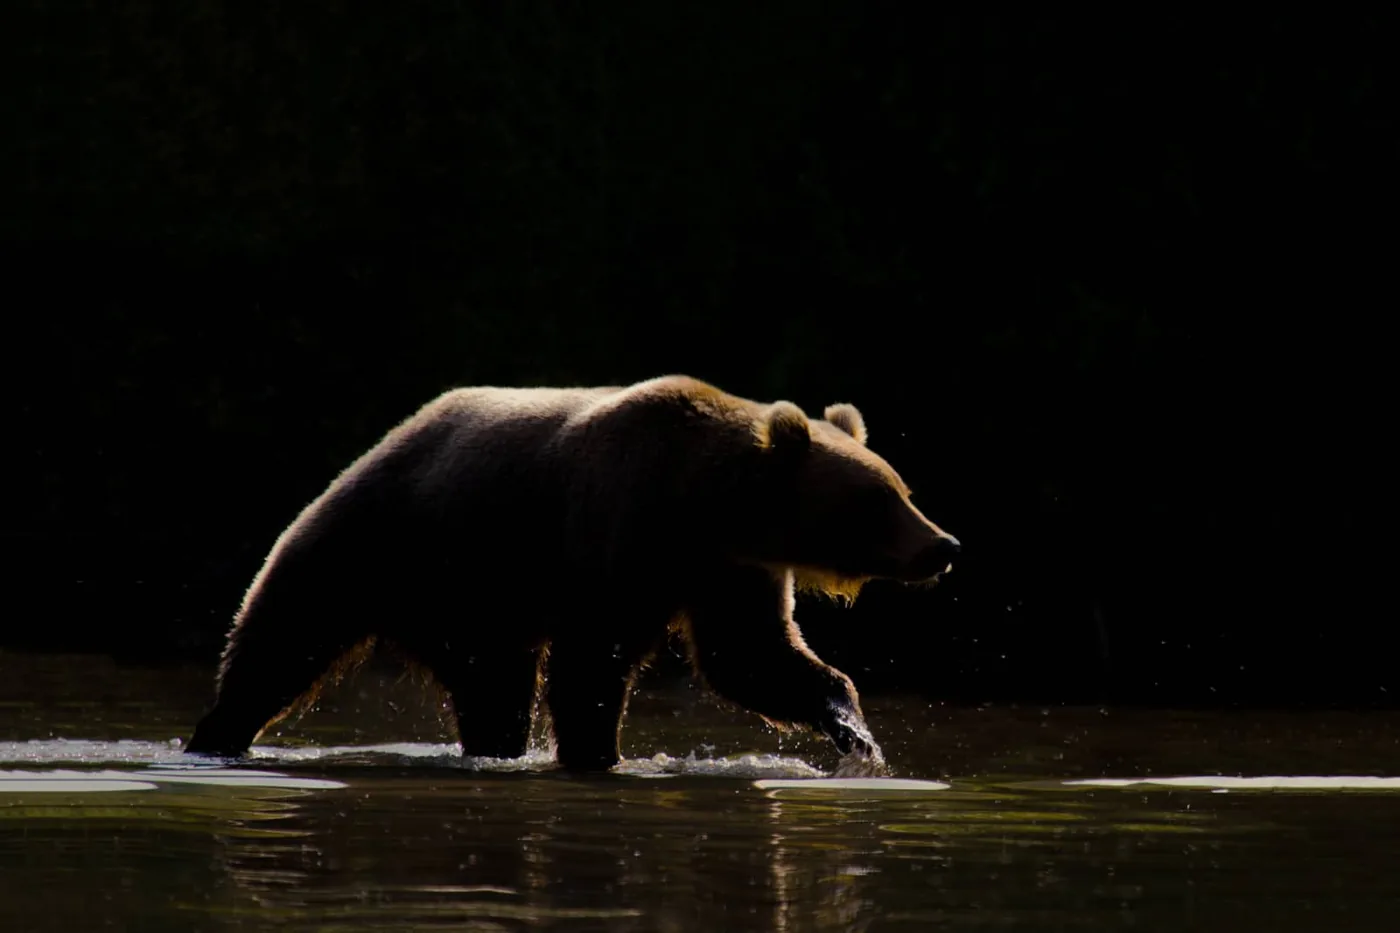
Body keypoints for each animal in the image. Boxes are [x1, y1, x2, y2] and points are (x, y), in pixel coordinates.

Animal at [184, 375, 959, 770]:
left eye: (901, 487)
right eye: (880, 499)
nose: (943, 544)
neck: (703, 502)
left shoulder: (729, 567)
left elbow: (753, 656)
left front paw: (851, 724)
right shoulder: (619, 528)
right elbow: (594, 660)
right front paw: (597, 752)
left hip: (476, 603)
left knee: (492, 687)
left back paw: (495, 745)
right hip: (381, 545)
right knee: (280, 641)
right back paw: (215, 733)